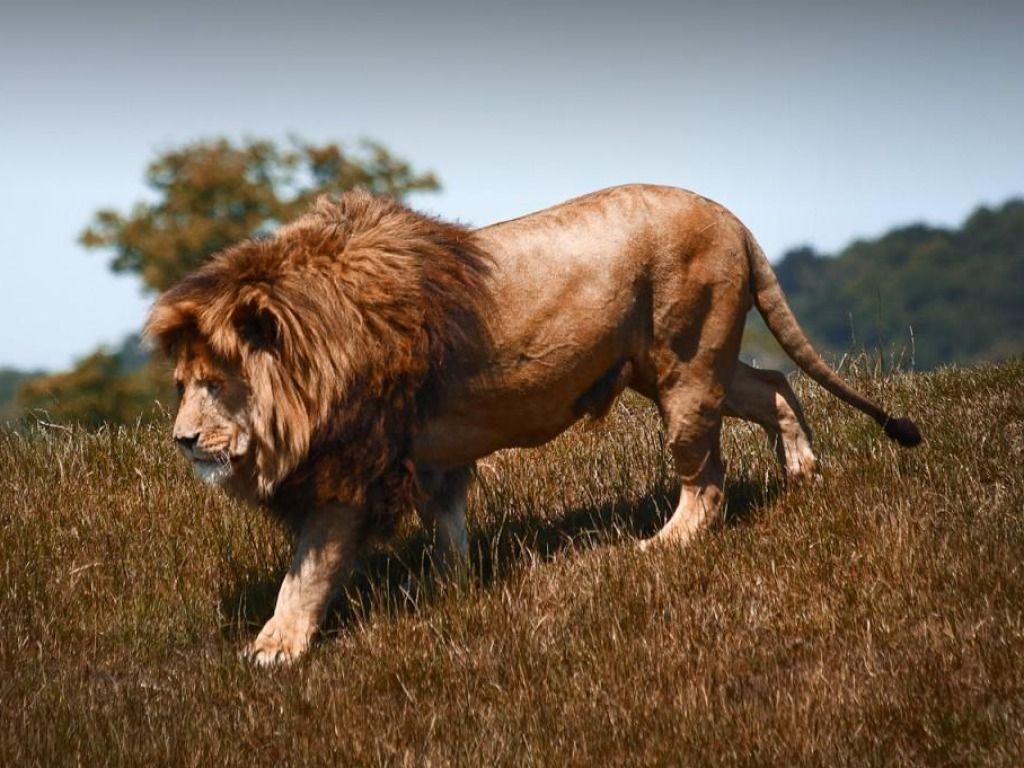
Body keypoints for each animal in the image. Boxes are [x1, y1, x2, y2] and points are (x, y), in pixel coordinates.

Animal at [145, 185, 920, 665]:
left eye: (215, 385)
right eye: (181, 388)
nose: (182, 440)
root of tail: (731, 216)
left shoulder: (353, 466)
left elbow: (307, 568)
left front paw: (275, 647)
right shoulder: (430, 456)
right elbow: (448, 524)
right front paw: (451, 594)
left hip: (686, 366)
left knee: (707, 478)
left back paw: (662, 545)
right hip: (682, 365)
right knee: (775, 385)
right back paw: (804, 470)